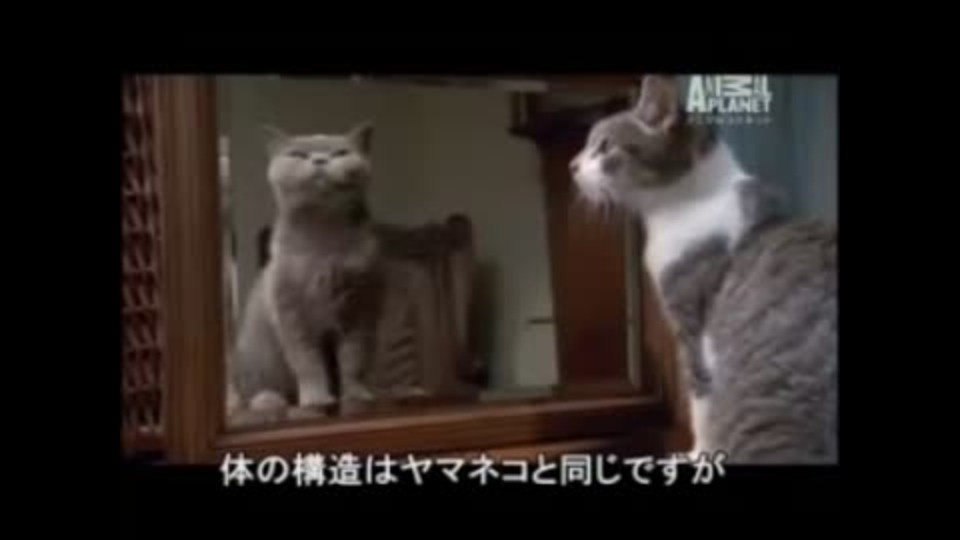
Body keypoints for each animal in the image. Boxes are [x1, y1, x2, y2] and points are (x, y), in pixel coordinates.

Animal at [227, 121, 384, 426]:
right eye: (298, 154)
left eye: (340, 152)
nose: (320, 160)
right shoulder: (292, 312)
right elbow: (307, 362)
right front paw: (316, 399)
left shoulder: (360, 306)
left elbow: (354, 358)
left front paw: (356, 395)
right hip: (258, 353)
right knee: (255, 393)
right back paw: (269, 401)